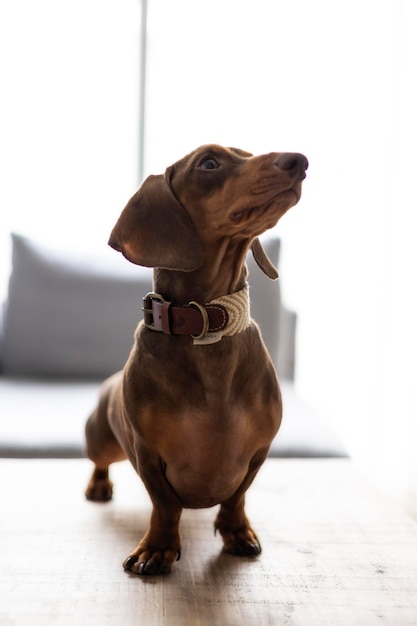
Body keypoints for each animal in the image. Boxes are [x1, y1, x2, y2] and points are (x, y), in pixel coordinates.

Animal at [84, 144, 308, 572]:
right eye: (209, 163)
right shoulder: (147, 453)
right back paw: (99, 485)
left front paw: (237, 531)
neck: (206, 322)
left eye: (249, 153)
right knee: (99, 461)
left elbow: (236, 496)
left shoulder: (259, 451)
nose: (300, 162)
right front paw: (157, 547)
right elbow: (165, 504)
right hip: (103, 441)